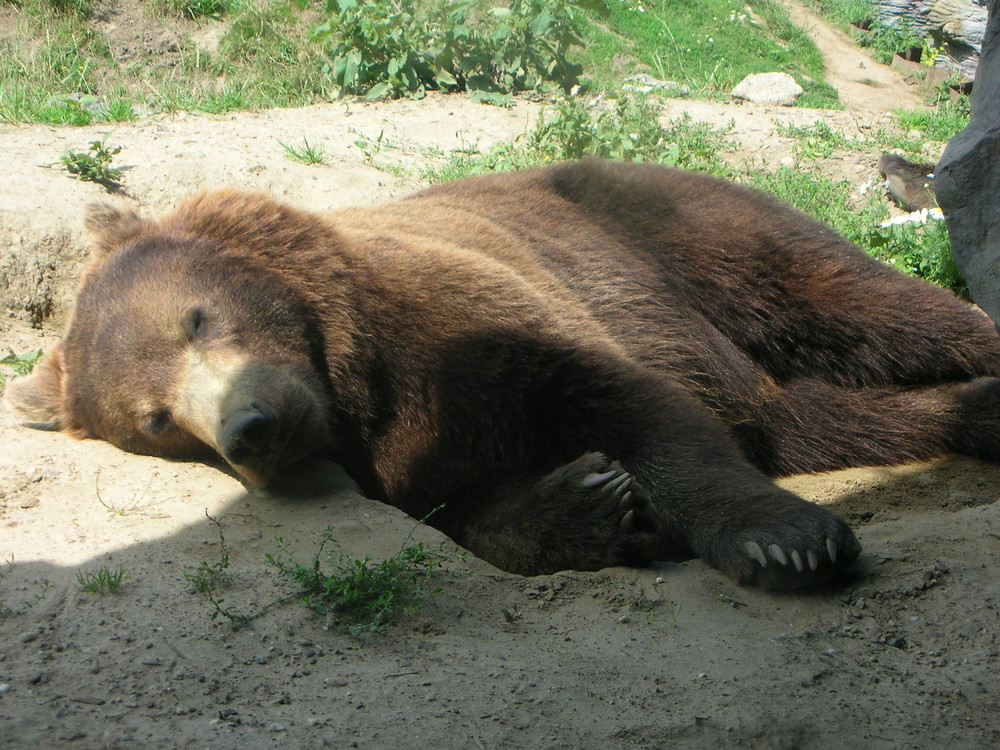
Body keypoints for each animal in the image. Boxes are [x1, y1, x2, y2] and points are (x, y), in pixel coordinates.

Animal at [7, 160, 1000, 592]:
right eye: (156, 419)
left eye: (197, 318)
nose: (253, 427)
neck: (359, 386)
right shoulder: (402, 457)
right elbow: (471, 508)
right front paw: (596, 504)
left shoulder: (477, 319)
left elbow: (642, 408)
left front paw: (784, 539)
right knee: (829, 416)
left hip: (677, 235)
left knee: (859, 302)